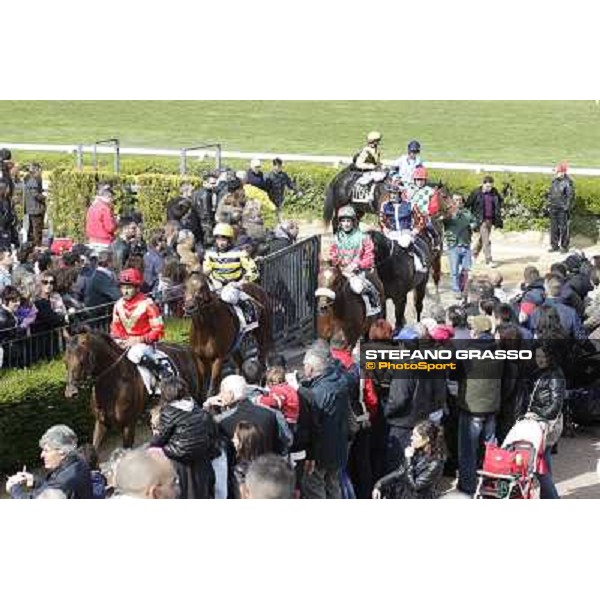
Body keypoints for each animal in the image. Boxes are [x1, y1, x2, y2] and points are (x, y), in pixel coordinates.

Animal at [63, 328, 204, 450]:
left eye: (81, 361)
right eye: (65, 362)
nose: (71, 392)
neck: (113, 386)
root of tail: (186, 349)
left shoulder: (128, 425)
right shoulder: (101, 423)